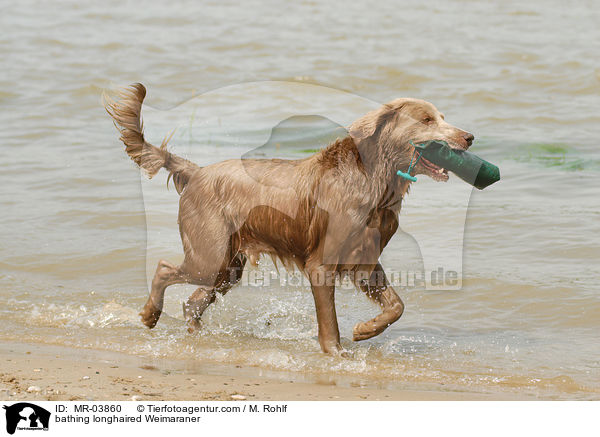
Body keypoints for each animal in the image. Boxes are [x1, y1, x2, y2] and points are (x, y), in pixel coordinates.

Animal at [103, 84, 472, 354]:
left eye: (442, 117)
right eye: (427, 120)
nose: (469, 137)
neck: (374, 182)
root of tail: (197, 172)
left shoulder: (364, 259)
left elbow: (397, 306)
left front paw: (365, 330)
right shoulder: (321, 263)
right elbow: (329, 323)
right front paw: (337, 354)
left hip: (228, 266)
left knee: (193, 302)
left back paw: (197, 336)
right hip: (208, 254)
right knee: (165, 268)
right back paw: (149, 315)